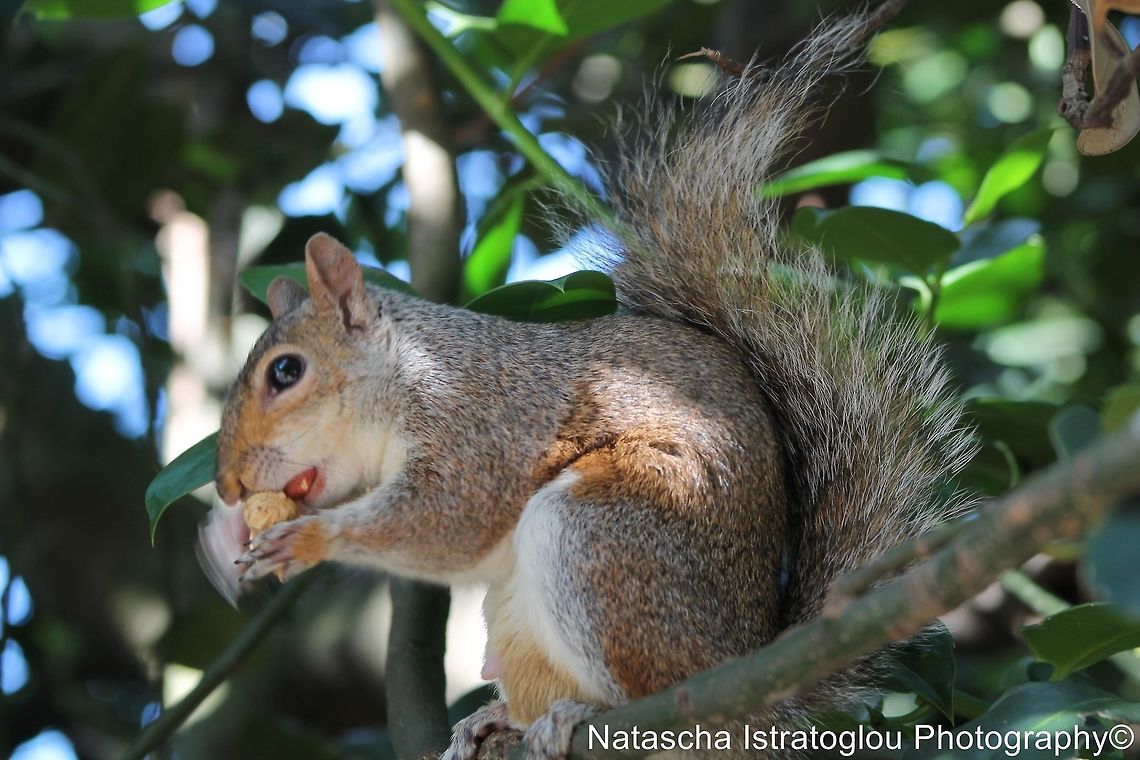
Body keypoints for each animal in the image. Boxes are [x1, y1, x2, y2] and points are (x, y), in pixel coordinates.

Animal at [212, 5, 977, 759]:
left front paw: (306, 540)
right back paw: (498, 720)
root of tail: (749, 684)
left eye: (287, 372)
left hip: (605, 531)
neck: (407, 376)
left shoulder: (478, 426)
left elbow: (447, 522)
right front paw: (226, 544)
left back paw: (583, 714)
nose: (226, 486)